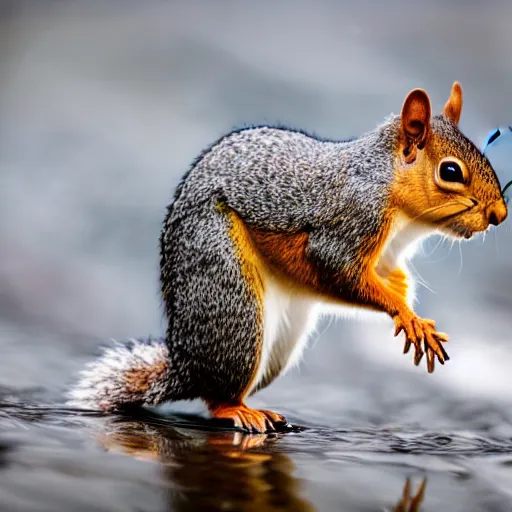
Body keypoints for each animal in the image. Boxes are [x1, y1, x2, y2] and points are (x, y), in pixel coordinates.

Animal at [68, 83, 508, 432]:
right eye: (450, 172)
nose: (500, 216)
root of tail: (184, 361)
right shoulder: (349, 224)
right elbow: (339, 271)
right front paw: (407, 315)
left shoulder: (387, 255)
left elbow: (390, 276)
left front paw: (406, 300)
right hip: (232, 300)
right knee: (215, 396)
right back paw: (238, 411)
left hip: (280, 341)